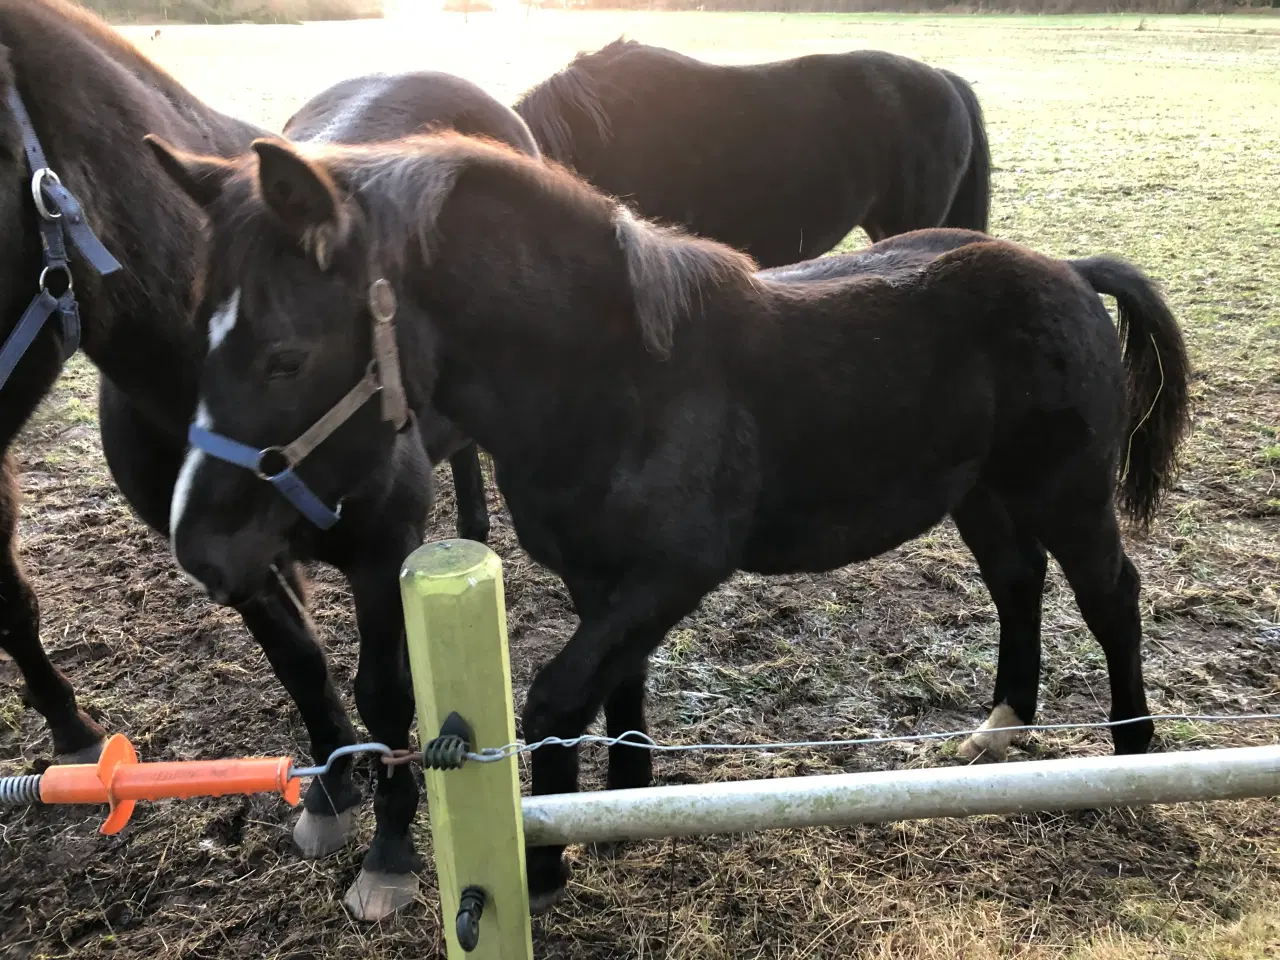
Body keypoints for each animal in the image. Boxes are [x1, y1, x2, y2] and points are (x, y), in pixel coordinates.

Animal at [1, 0, 535, 926]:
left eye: (286, 359)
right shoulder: (239, 559)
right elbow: (301, 664)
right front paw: (330, 790)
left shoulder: (380, 554)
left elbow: (386, 692)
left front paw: (391, 847)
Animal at [149, 131, 1187, 911]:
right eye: (197, 330)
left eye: (285, 357)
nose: (201, 549)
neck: (618, 380)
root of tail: (1066, 269)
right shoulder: (602, 579)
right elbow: (616, 688)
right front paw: (624, 804)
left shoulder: (672, 572)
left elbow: (556, 701)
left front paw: (545, 862)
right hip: (981, 494)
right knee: (1018, 581)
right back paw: (1003, 725)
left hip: (1068, 494)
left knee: (1111, 595)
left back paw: (1134, 754)